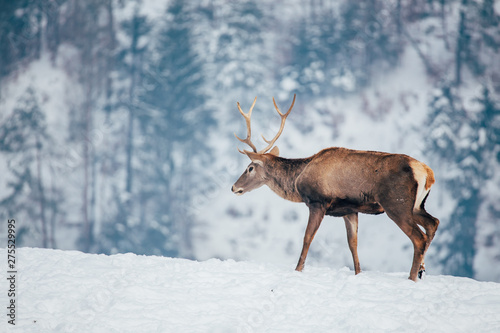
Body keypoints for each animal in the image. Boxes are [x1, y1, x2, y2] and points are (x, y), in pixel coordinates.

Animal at [229, 93, 438, 280]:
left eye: (249, 168)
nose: (233, 188)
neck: (298, 181)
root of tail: (427, 173)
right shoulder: (349, 209)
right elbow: (353, 244)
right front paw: (358, 274)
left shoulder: (318, 202)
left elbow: (307, 237)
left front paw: (297, 270)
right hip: (416, 205)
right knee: (433, 223)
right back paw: (421, 270)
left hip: (396, 203)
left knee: (418, 237)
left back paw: (412, 277)